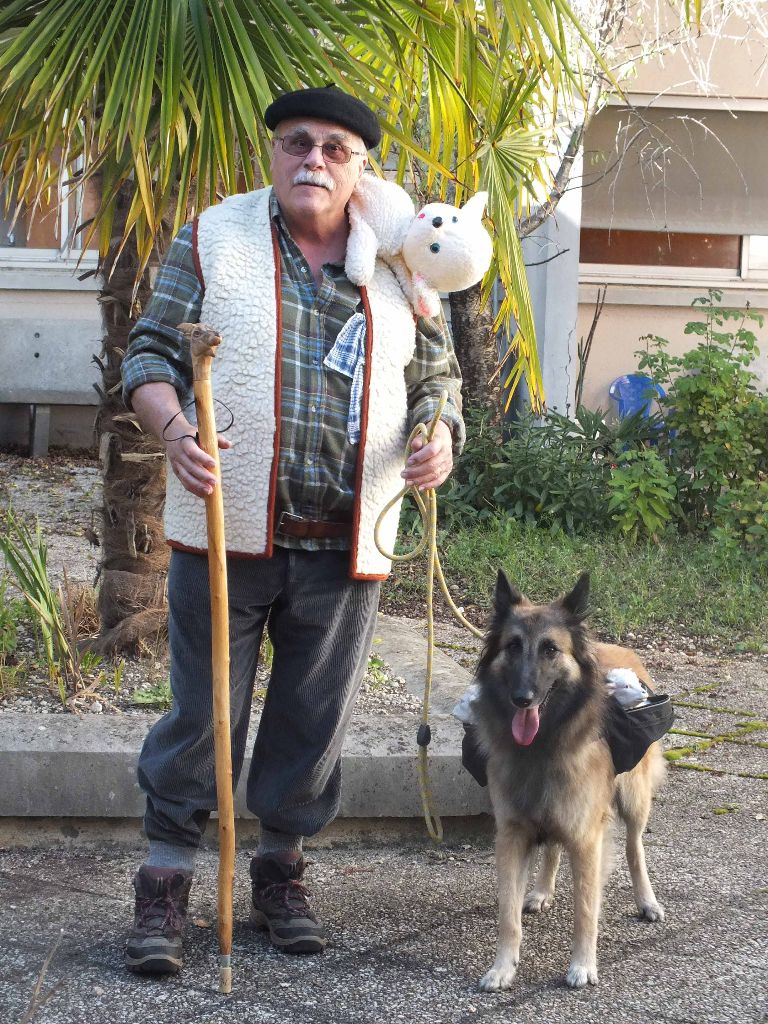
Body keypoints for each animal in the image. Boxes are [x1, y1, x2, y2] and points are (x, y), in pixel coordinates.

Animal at [475, 573, 667, 987]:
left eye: (550, 649)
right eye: (513, 646)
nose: (523, 698)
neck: (542, 746)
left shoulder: (586, 839)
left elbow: (585, 910)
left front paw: (582, 964)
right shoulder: (512, 835)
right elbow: (507, 916)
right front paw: (502, 967)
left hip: (633, 800)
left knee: (634, 847)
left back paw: (647, 901)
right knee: (552, 848)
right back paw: (541, 890)